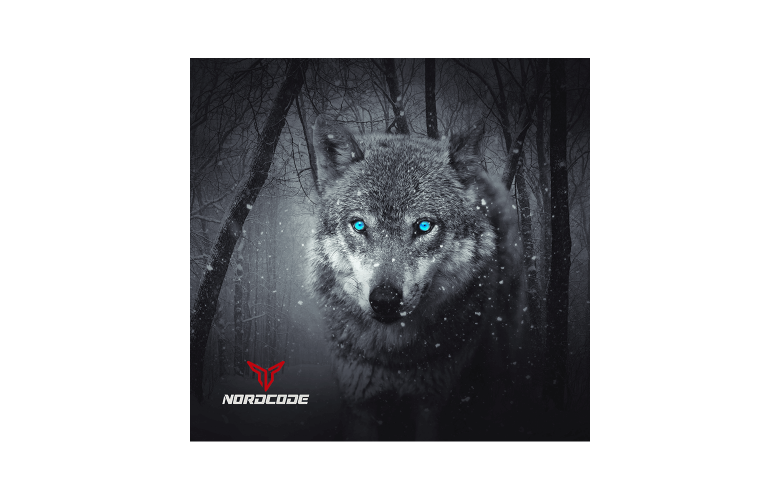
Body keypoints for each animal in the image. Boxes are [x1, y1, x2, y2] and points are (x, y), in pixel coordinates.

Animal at [307, 116, 523, 440]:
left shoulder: (432, 403)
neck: (395, 356)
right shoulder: (360, 402)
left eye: (423, 226)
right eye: (359, 225)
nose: (385, 300)